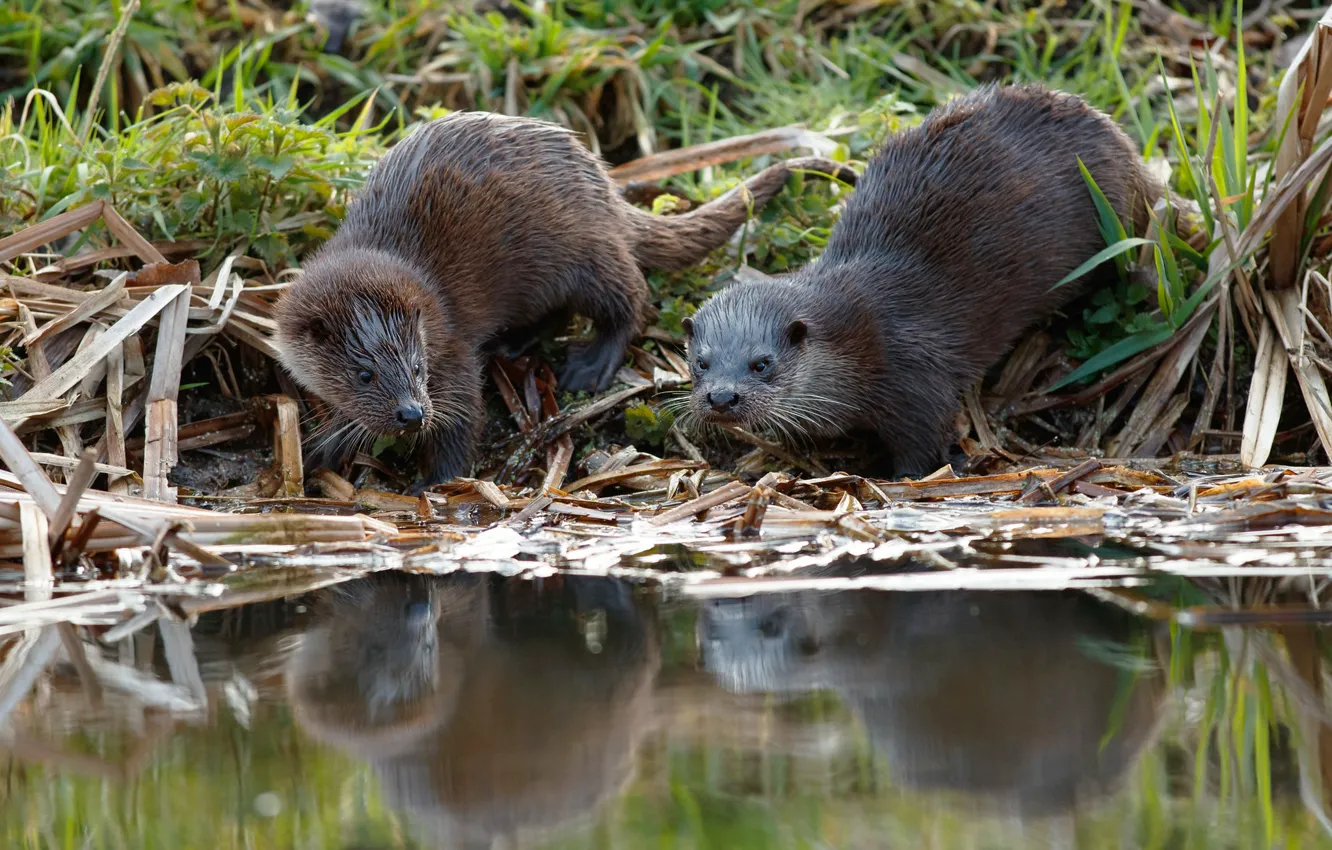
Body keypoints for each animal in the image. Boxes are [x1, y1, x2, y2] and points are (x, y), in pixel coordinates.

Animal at [275, 111, 855, 487]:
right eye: (364, 374)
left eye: (418, 368)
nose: (411, 413)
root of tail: (607, 187)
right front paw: (326, 443)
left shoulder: (451, 341)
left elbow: (462, 414)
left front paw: (433, 484)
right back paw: (515, 343)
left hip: (583, 252)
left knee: (631, 296)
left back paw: (590, 366)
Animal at [681, 84, 1161, 479]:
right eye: (701, 362)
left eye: (762, 364)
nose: (721, 398)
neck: (861, 342)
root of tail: (1130, 152)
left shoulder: (917, 378)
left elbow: (924, 444)